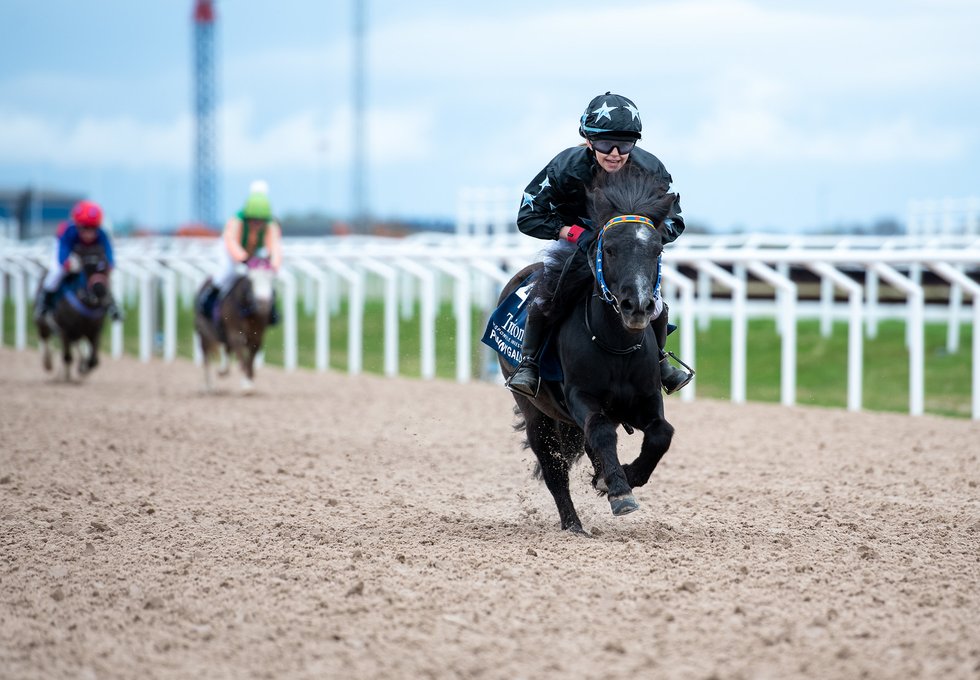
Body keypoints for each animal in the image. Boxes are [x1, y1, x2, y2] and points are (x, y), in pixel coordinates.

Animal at [35, 242, 113, 380]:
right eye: (86, 268)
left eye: (104, 265)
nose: (100, 291)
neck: (88, 303)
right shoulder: (64, 329)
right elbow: (67, 356)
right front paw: (67, 375)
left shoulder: (95, 330)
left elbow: (93, 361)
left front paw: (83, 369)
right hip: (43, 323)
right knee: (44, 338)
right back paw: (48, 363)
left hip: (77, 332)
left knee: (76, 345)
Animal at [194, 256, 276, 396]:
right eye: (251, 280)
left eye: (271, 278)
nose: (263, 303)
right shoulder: (234, 333)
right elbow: (242, 359)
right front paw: (246, 385)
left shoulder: (257, 336)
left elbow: (250, 360)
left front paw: (249, 382)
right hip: (204, 333)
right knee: (206, 357)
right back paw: (209, 386)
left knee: (227, 351)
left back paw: (222, 371)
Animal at [498, 166, 680, 536]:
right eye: (608, 249)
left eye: (657, 250)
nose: (637, 306)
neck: (617, 347)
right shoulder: (580, 398)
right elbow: (600, 431)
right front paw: (620, 491)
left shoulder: (645, 399)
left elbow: (661, 434)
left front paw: (624, 477)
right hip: (535, 412)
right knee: (554, 470)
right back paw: (573, 524)